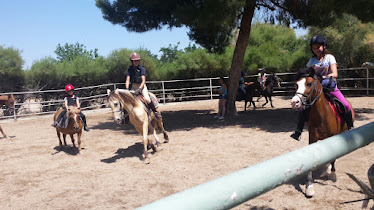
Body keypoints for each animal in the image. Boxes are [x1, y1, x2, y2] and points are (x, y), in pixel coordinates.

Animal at [290, 67, 356, 199]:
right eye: (296, 84)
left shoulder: (333, 137)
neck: (322, 115)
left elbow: (334, 158)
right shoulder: (312, 138)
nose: (295, 102)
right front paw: (309, 187)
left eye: (309, 84)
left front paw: (333, 175)